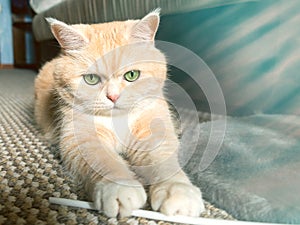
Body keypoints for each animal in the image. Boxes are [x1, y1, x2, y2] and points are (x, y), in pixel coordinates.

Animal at [34, 9, 204, 217]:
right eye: (91, 79)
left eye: (132, 75)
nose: (113, 97)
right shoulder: (82, 139)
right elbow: (105, 162)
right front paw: (120, 188)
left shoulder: (153, 132)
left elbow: (164, 163)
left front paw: (178, 192)